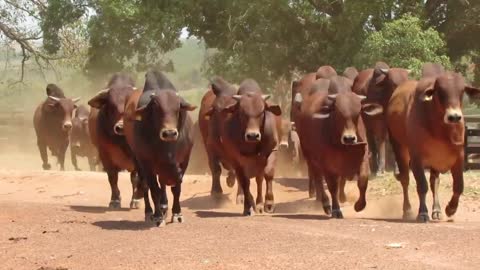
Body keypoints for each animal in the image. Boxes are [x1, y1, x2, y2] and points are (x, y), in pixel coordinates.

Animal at [87, 73, 142, 209]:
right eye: (111, 106)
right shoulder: (104, 154)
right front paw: (115, 200)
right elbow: (112, 177)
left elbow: (135, 178)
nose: (120, 127)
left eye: (131, 106)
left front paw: (135, 200)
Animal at [125, 70, 197, 226]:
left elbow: (176, 188)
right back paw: (149, 212)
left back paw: (164, 207)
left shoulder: (184, 161)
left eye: (177, 108)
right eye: (156, 108)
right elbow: (154, 190)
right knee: (145, 185)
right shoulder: (147, 162)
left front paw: (177, 213)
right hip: (138, 160)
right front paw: (158, 216)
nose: (169, 133)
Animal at [210, 78, 282, 215]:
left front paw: (269, 203)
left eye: (262, 112)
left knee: (259, 180)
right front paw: (248, 206)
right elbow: (244, 181)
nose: (252, 135)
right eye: (242, 113)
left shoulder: (272, 149)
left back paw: (259, 204)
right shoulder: (236, 159)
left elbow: (268, 174)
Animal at [296, 78, 382, 217]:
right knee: (318, 179)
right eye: (338, 113)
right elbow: (332, 187)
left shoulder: (363, 156)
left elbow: (362, 180)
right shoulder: (327, 164)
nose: (349, 138)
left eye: (358, 113)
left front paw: (359, 205)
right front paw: (336, 210)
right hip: (310, 157)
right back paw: (326, 204)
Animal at [386, 71, 480, 221]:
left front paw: (450, 209)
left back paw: (437, 210)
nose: (454, 117)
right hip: (399, 147)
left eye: (461, 91)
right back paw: (407, 210)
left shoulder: (459, 157)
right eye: (440, 92)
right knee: (405, 179)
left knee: (434, 182)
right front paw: (423, 213)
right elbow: (421, 185)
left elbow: (459, 186)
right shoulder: (416, 158)